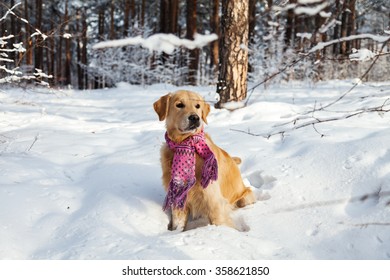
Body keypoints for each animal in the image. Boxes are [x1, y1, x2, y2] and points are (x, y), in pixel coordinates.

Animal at [152, 91, 256, 231]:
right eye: (179, 105)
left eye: (197, 105)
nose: (195, 118)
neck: (185, 143)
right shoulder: (178, 197)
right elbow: (178, 223)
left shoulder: (213, 200)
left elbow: (219, 221)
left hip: (245, 198)